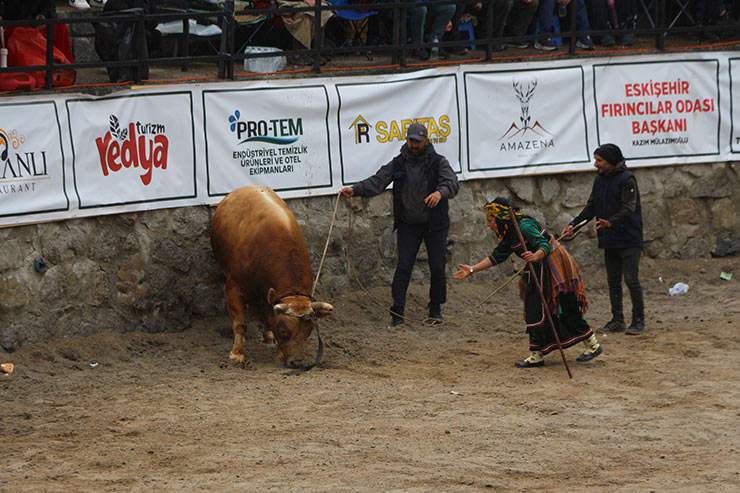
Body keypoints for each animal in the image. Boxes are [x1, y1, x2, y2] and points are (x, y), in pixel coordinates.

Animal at [210, 186, 333, 368]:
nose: (297, 362)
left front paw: (278, 351)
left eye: (310, 331)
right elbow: (240, 323)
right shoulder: (233, 288)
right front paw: (237, 354)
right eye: (283, 330)